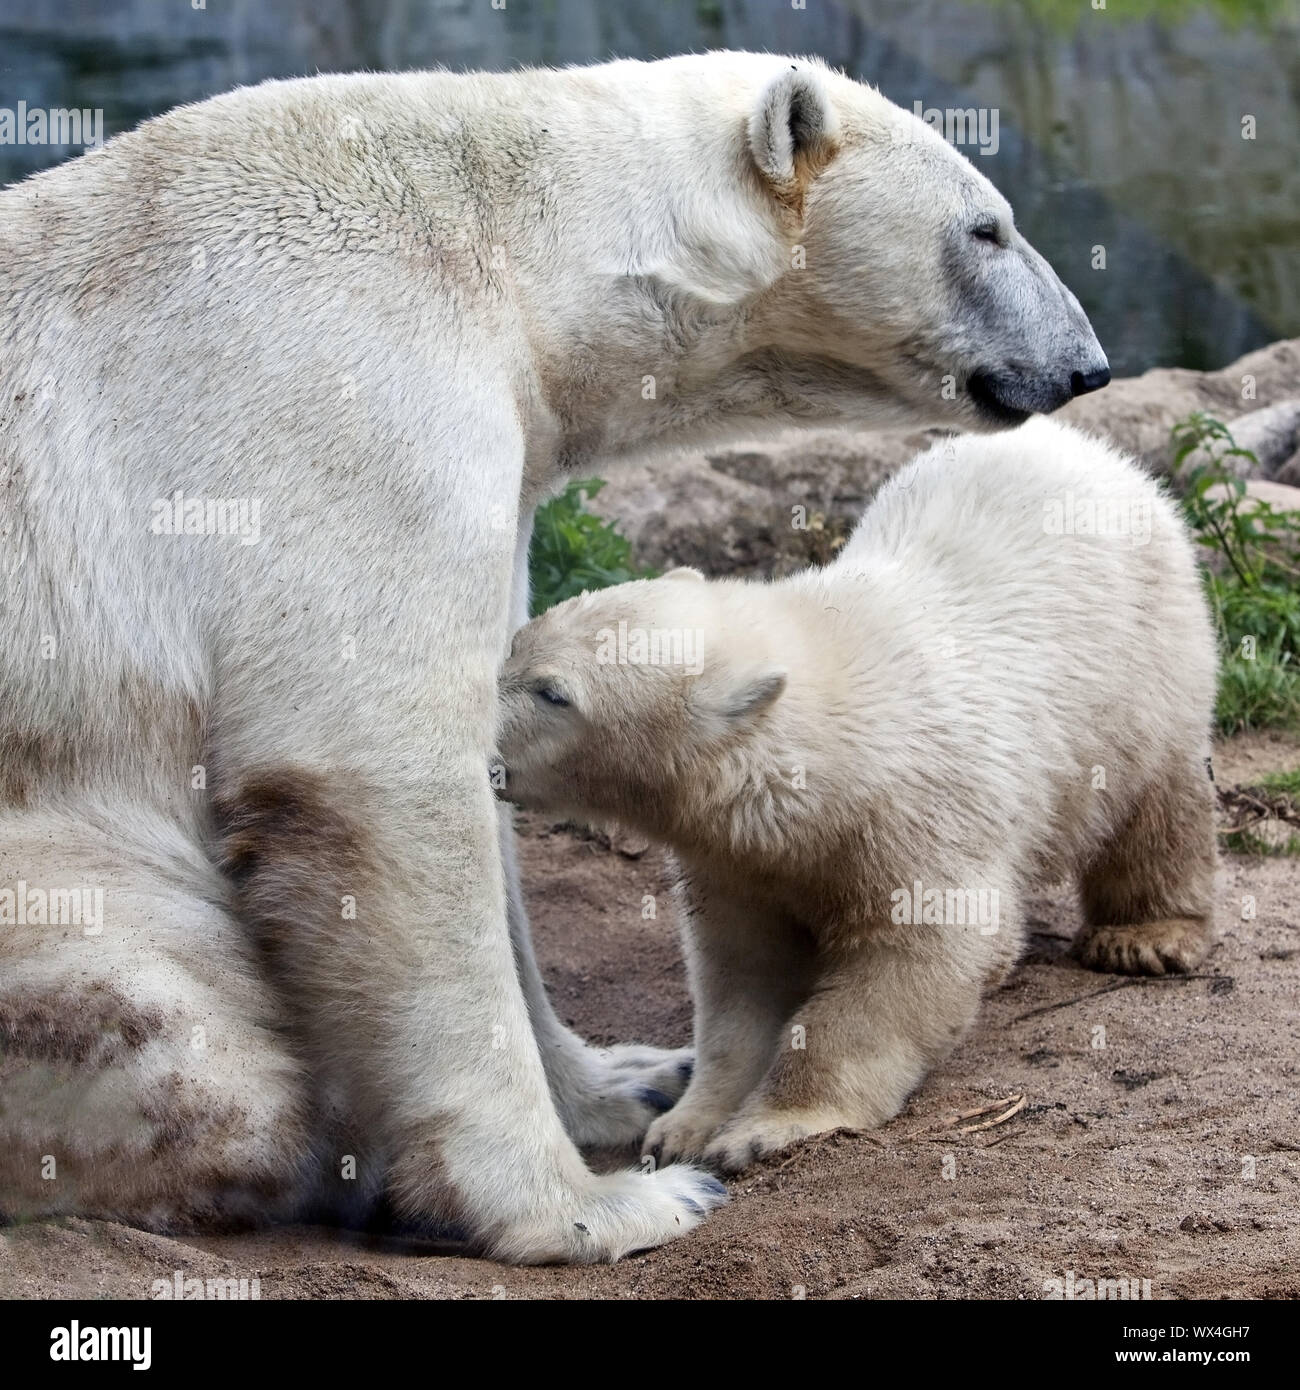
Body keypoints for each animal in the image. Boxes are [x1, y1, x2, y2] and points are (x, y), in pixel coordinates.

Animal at [2, 51, 1106, 1262]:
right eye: (986, 226)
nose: (1086, 364)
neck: (498, 250)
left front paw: (628, 1080)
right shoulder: (339, 402)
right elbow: (375, 774)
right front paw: (597, 1204)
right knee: (193, 1047)